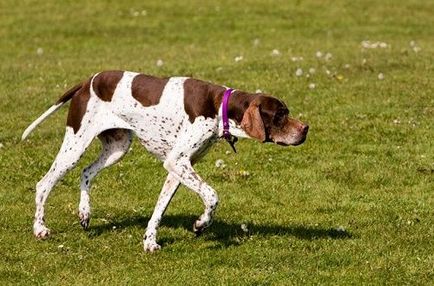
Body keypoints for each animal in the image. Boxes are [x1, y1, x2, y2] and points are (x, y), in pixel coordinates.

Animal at [21, 70, 308, 251]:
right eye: (280, 115)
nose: (306, 129)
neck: (219, 108)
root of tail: (86, 81)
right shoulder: (177, 162)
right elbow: (212, 196)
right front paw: (201, 224)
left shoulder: (177, 168)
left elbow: (159, 209)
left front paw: (149, 241)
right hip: (75, 145)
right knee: (44, 184)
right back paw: (40, 229)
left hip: (117, 147)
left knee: (86, 172)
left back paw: (84, 213)